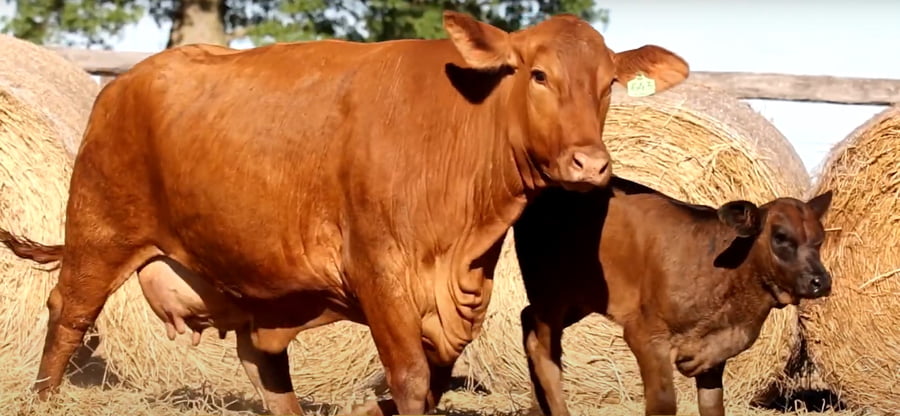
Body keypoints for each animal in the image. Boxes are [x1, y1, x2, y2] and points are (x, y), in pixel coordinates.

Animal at [0, 11, 689, 416]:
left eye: (608, 85)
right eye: (538, 75)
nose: (589, 164)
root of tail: (123, 82)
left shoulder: (461, 294)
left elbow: (433, 379)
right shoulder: (379, 270)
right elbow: (408, 376)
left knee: (261, 358)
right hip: (99, 231)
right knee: (67, 315)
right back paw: (43, 399)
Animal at [513, 176, 833, 416]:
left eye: (820, 239)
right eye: (780, 237)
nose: (821, 281)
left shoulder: (714, 354)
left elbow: (713, 406)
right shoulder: (645, 335)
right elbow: (663, 404)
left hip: (577, 298)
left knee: (527, 320)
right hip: (550, 295)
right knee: (542, 349)